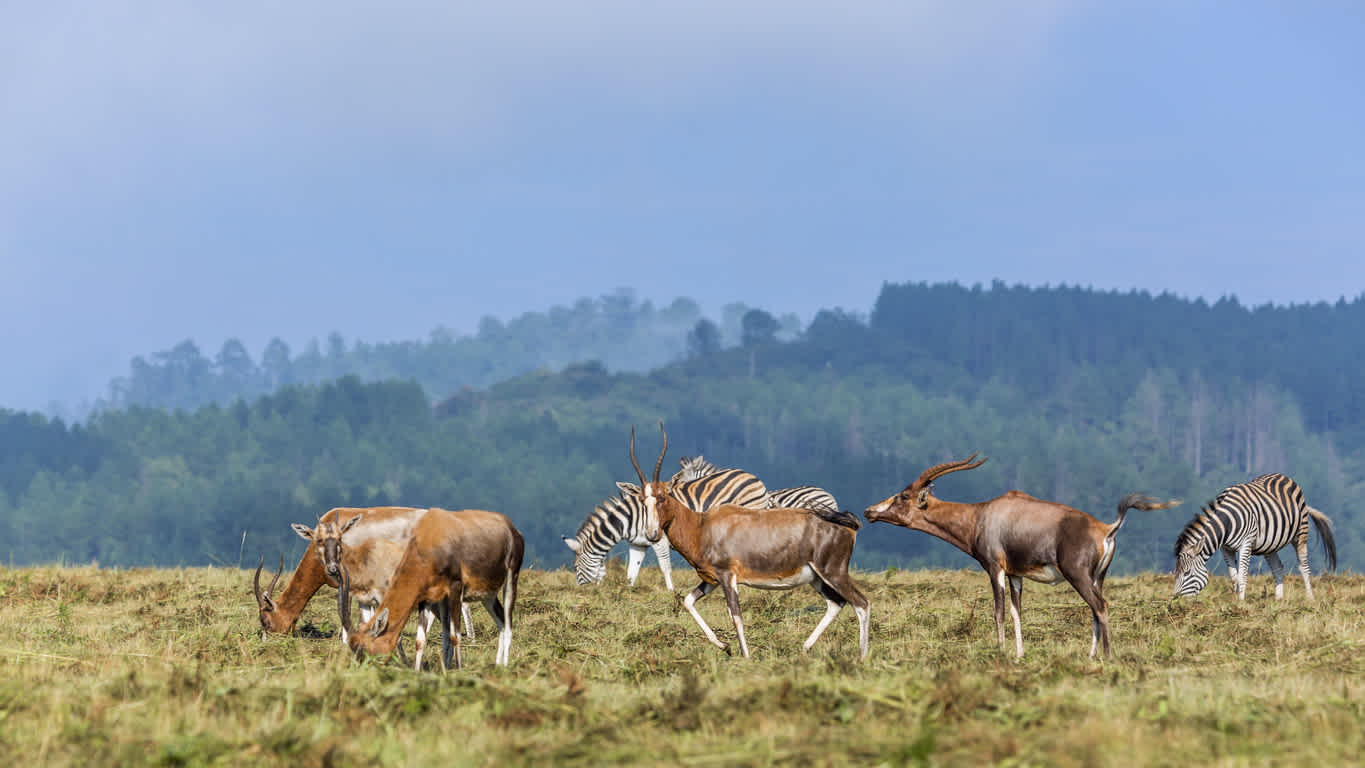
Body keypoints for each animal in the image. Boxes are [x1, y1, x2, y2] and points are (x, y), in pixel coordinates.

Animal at [337, 507, 521, 671]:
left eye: (362, 648)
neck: (430, 537)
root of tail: (511, 527)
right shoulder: (426, 597)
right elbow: (420, 639)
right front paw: (417, 672)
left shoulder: (455, 588)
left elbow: (455, 636)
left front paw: (459, 671)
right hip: (488, 596)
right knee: (501, 622)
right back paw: (498, 665)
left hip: (511, 578)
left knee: (509, 625)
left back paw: (505, 667)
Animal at [556, 466, 769, 592]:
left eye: (575, 568)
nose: (582, 592)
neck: (629, 519)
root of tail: (753, 477)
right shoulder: (638, 544)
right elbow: (632, 571)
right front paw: (627, 592)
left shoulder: (660, 540)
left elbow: (665, 566)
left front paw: (671, 592)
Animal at [625, 425, 868, 660]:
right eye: (643, 500)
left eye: (663, 496)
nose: (652, 534)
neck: (702, 525)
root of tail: (848, 525)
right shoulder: (711, 579)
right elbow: (688, 602)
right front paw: (725, 646)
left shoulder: (727, 577)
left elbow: (736, 616)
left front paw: (745, 656)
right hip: (816, 578)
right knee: (836, 604)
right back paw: (805, 648)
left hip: (833, 573)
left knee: (861, 603)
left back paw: (862, 657)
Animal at [868, 455, 1179, 660]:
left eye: (903, 496)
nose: (869, 511)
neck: (982, 515)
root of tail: (1107, 528)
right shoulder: (1016, 574)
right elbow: (1017, 612)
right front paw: (1019, 654)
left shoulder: (995, 568)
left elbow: (998, 611)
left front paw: (1001, 652)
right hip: (1096, 578)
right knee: (1094, 609)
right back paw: (1091, 656)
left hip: (1077, 575)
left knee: (1100, 607)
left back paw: (1106, 657)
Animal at [1168, 471, 1337, 602]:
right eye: (1175, 573)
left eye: (1187, 573)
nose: (1175, 600)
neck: (1226, 523)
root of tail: (1283, 476)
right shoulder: (1225, 548)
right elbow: (1234, 577)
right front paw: (1235, 600)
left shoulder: (1246, 543)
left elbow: (1242, 575)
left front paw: (1241, 602)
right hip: (1270, 545)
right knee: (1278, 567)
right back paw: (1279, 600)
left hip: (1300, 533)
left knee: (1304, 566)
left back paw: (1310, 598)